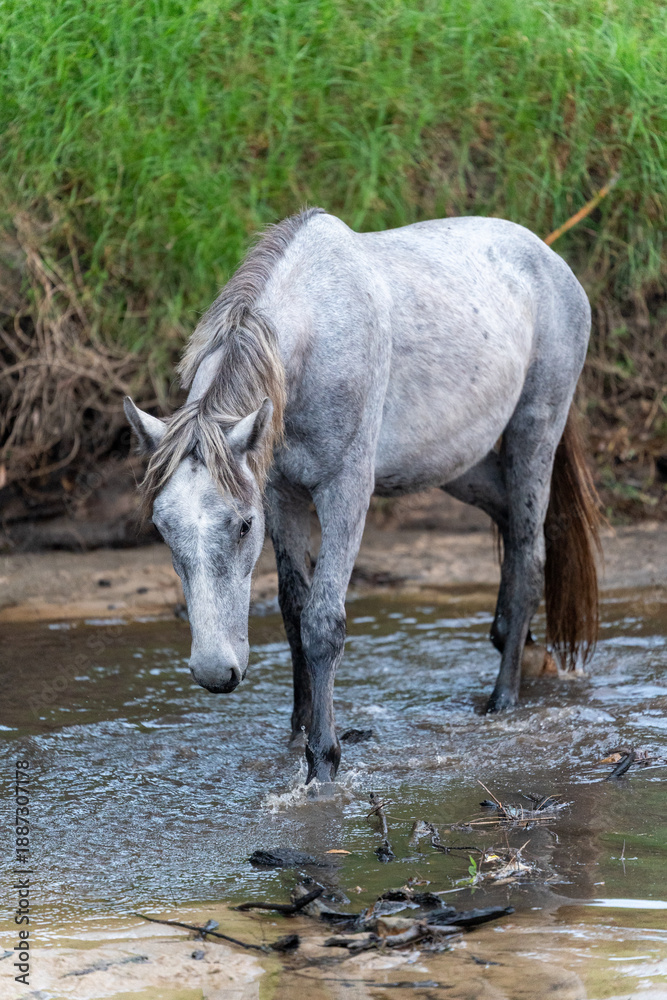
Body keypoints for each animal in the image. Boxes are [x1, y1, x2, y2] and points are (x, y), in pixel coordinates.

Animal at [125, 207, 601, 784]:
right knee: (511, 523)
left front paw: (323, 760)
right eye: (162, 527)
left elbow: (323, 622)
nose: (216, 672)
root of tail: (551, 261)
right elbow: (294, 611)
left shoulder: (345, 491)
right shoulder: (280, 494)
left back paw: (503, 700)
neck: (314, 337)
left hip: (535, 433)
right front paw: (299, 731)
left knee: (530, 557)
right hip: (459, 464)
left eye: (241, 525)